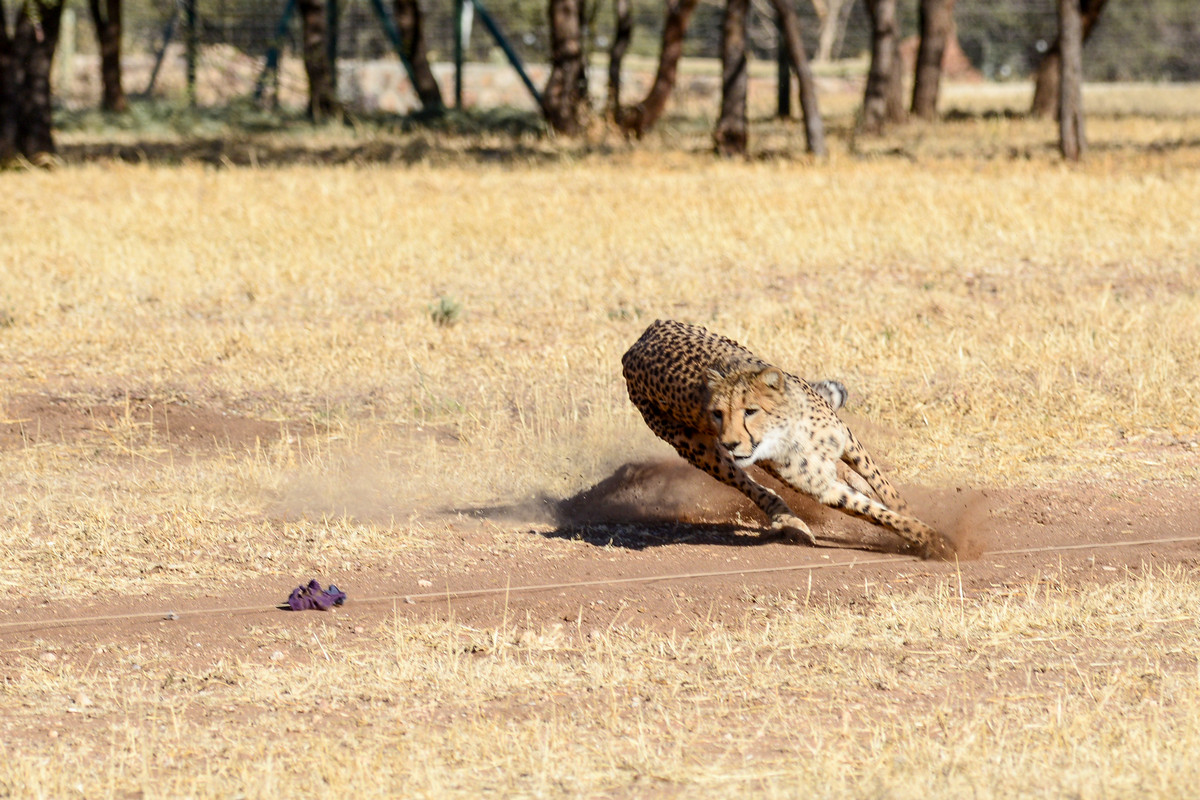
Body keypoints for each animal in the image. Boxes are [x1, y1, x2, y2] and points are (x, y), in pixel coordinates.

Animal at [624, 316, 950, 561]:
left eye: (750, 411)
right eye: (716, 413)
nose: (729, 442)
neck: (790, 433)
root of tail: (638, 342)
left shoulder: (846, 441)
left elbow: (885, 489)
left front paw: (911, 516)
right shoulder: (822, 487)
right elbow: (876, 512)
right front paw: (933, 539)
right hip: (698, 450)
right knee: (751, 486)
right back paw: (788, 520)